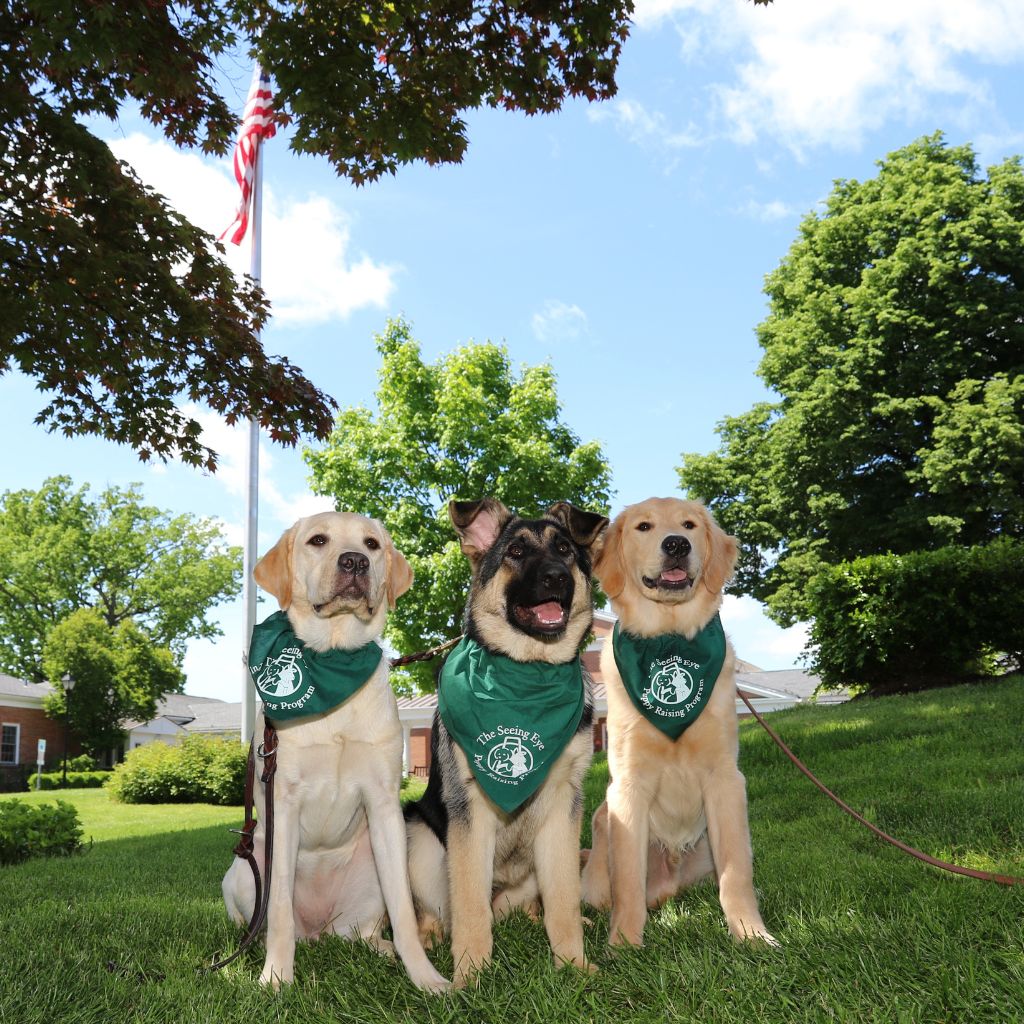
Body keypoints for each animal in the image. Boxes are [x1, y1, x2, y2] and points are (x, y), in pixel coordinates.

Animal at [222, 512, 446, 991]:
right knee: (263, 921)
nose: (355, 562)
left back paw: (384, 950)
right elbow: (280, 913)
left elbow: (404, 912)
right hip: (246, 872)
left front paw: (425, 977)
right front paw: (275, 978)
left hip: (369, 876)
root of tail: (318, 931)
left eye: (372, 544)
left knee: (361, 933)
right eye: (318, 540)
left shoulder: (383, 802)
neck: (333, 661)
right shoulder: (284, 802)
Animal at [401, 499, 606, 987]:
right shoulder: (470, 812)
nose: (558, 577)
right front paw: (471, 977)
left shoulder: (563, 806)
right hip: (416, 833)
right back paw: (429, 935)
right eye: (515, 551)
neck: (528, 674)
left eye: (565, 549)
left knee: (542, 902)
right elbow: (470, 905)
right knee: (436, 908)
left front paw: (573, 963)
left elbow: (563, 898)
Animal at [581, 499, 770, 946]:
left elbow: (736, 873)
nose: (677, 545)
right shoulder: (628, 784)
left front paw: (751, 934)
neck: (668, 639)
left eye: (689, 525)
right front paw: (624, 943)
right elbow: (628, 882)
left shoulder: (725, 778)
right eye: (643, 527)